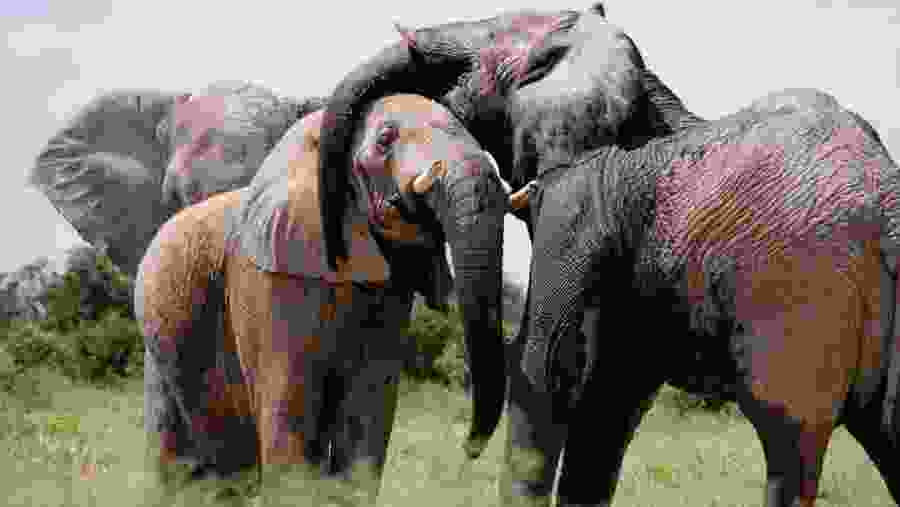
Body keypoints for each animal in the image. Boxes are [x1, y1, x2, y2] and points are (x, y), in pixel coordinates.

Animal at [136, 93, 507, 505]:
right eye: (385, 140)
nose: (469, 449)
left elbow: (365, 423)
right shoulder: (268, 277)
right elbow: (288, 423)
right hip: (159, 349)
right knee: (177, 459)